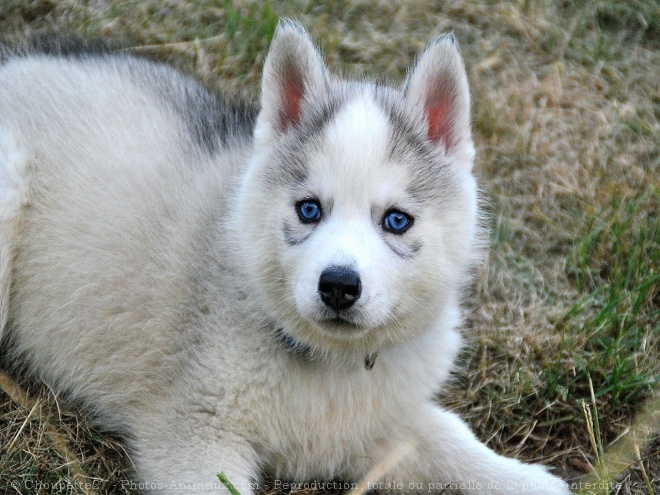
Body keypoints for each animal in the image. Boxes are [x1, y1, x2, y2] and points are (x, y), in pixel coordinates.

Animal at [0, 20, 568, 495]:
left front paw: (527, 480)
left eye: (396, 220)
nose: (338, 285)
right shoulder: (193, 433)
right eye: (309, 209)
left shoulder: (378, 422)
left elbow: (448, 437)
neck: (329, 365)